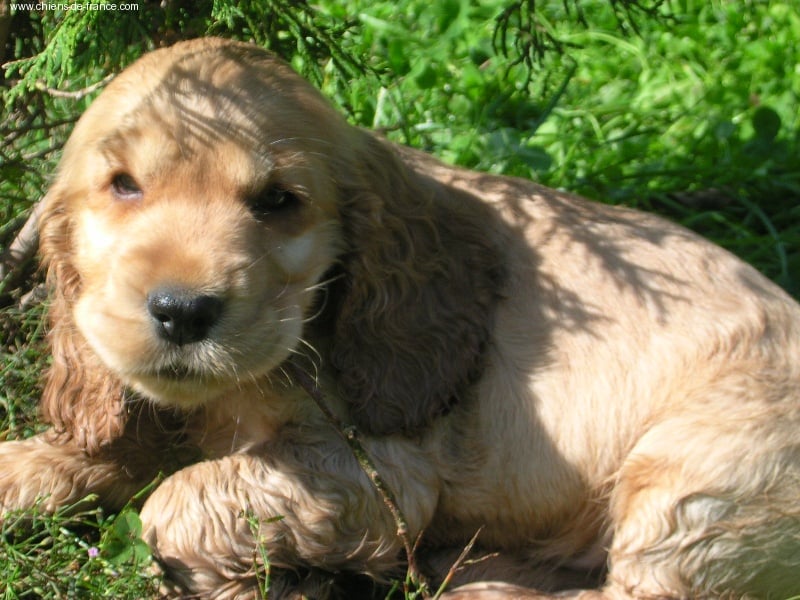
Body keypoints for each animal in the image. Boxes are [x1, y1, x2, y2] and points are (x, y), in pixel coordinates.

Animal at [1, 37, 799, 599]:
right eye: (122, 186)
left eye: (279, 201)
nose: (182, 311)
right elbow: (114, 448)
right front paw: (26, 468)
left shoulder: (378, 468)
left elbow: (177, 499)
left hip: (701, 477)